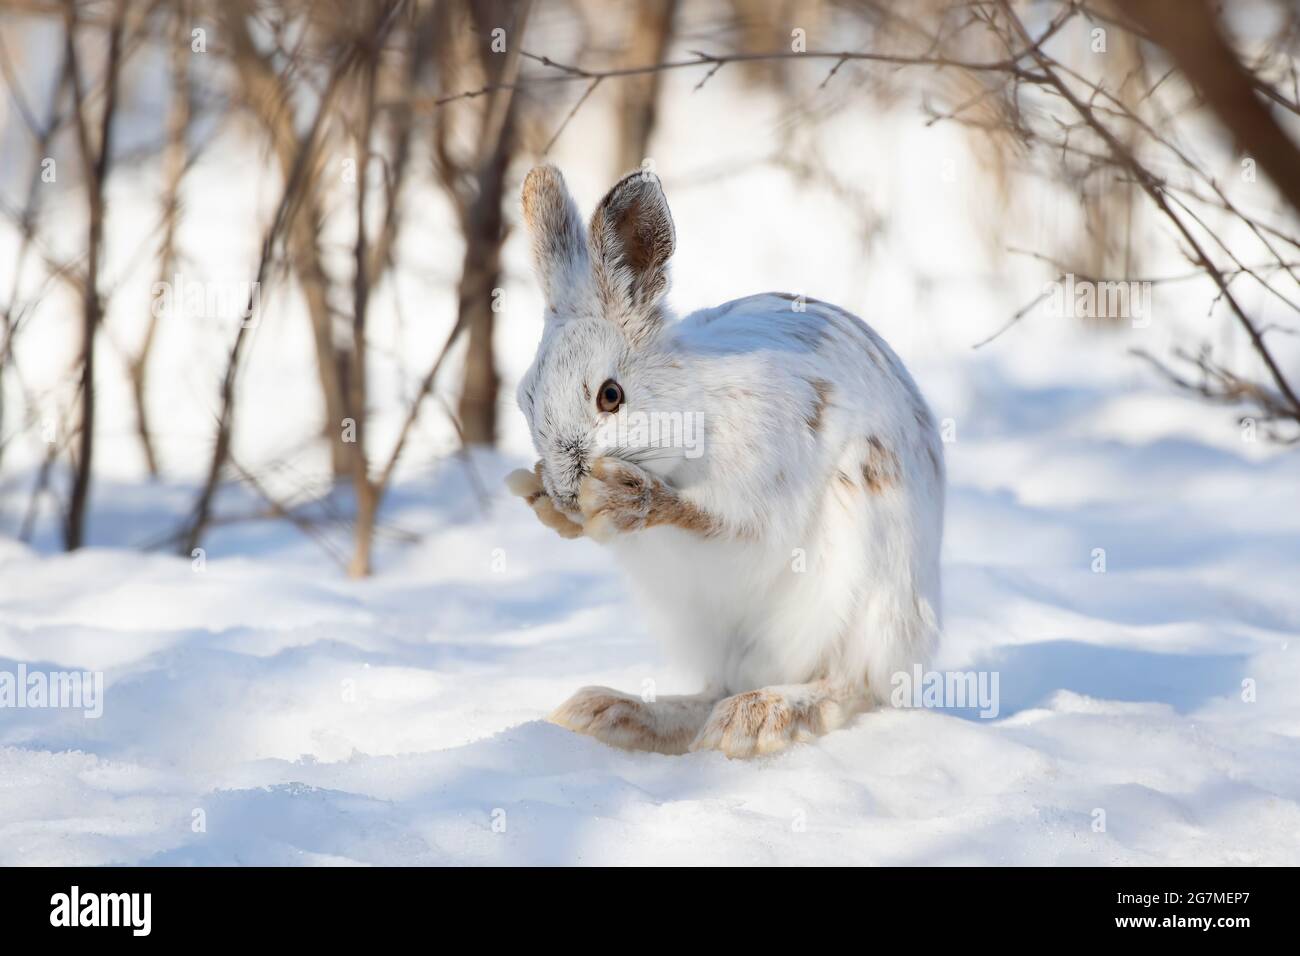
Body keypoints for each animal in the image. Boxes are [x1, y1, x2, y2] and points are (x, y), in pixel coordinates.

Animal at [506, 165, 945, 758]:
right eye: (525, 400)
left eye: (611, 396)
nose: (570, 493)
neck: (694, 407)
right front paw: (547, 505)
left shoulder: (758, 489)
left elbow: (716, 518)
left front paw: (622, 498)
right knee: (713, 688)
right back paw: (612, 712)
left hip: (865, 579)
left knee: (850, 682)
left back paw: (760, 717)